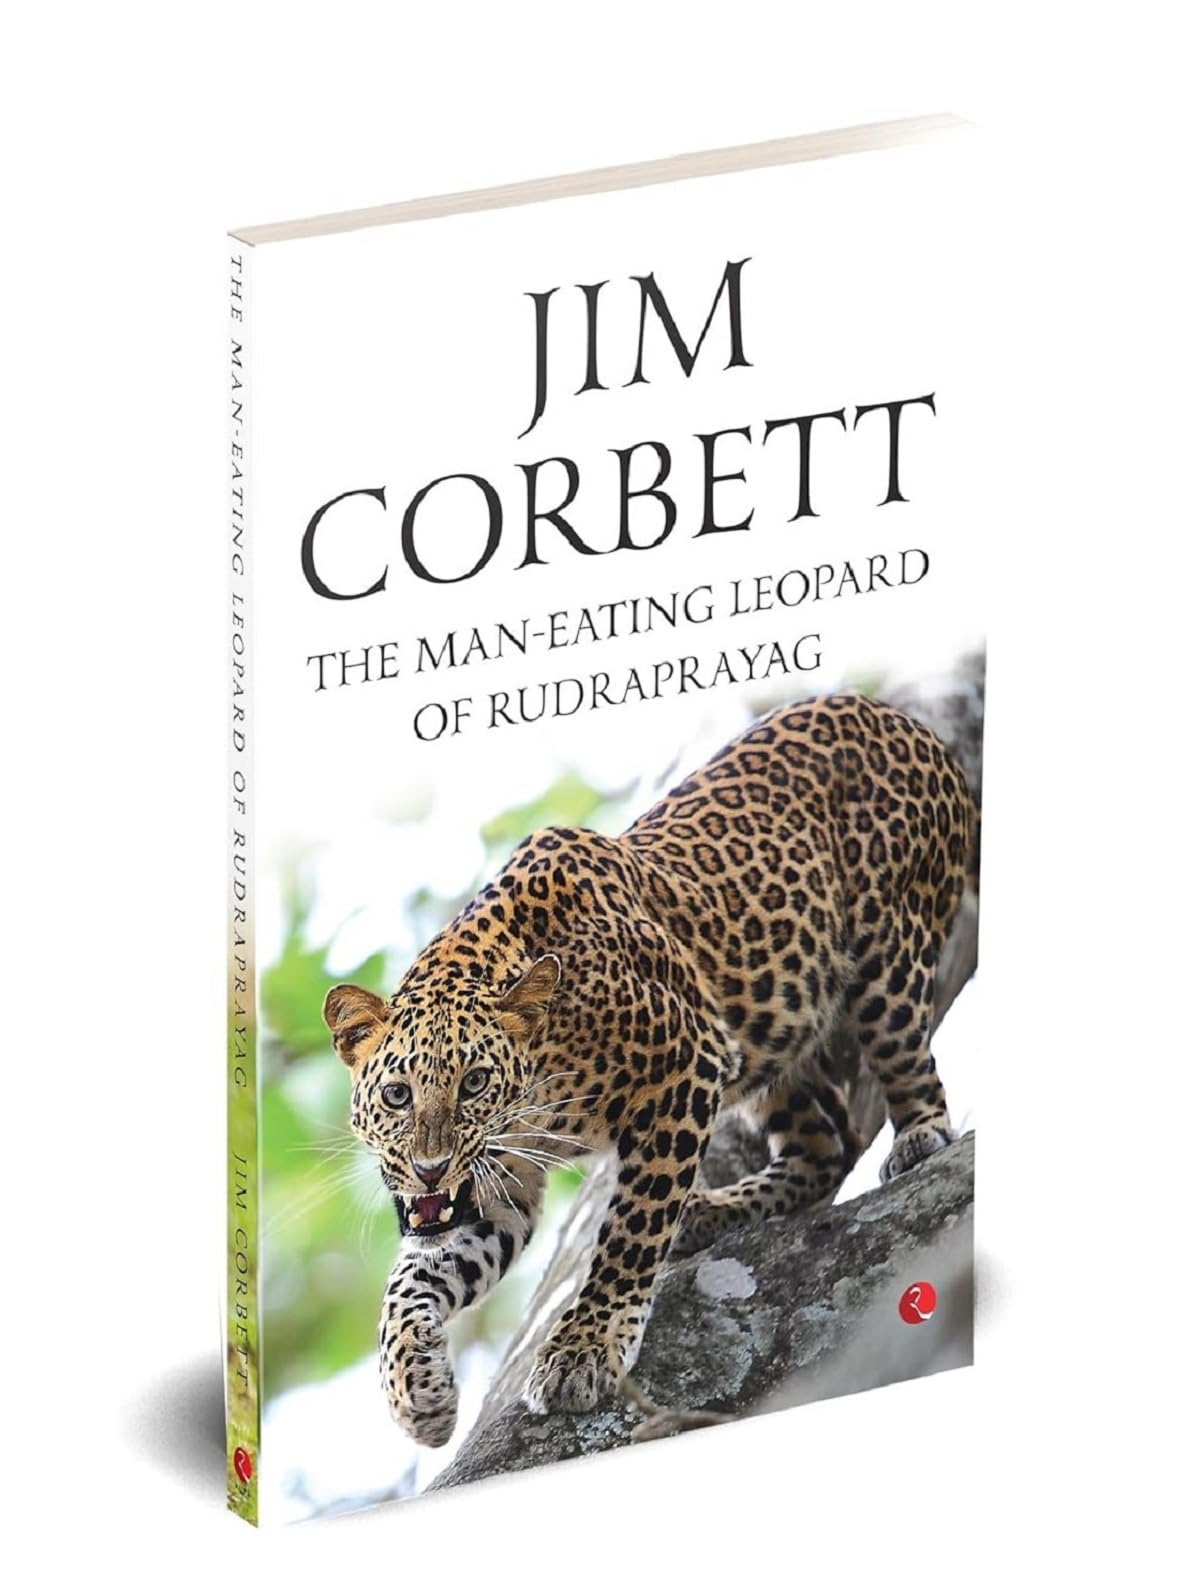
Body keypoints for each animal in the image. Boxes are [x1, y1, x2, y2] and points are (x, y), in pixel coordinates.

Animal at [323, 692, 980, 1447]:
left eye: (476, 1084)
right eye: (397, 1094)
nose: (428, 1171)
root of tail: (899, 718)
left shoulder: (682, 1067)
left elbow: (631, 1229)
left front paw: (584, 1346)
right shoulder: (498, 1185)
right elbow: (409, 1285)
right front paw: (416, 1391)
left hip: (886, 955)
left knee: (903, 1062)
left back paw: (919, 1137)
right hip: (771, 1037)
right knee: (828, 1143)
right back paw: (716, 1210)